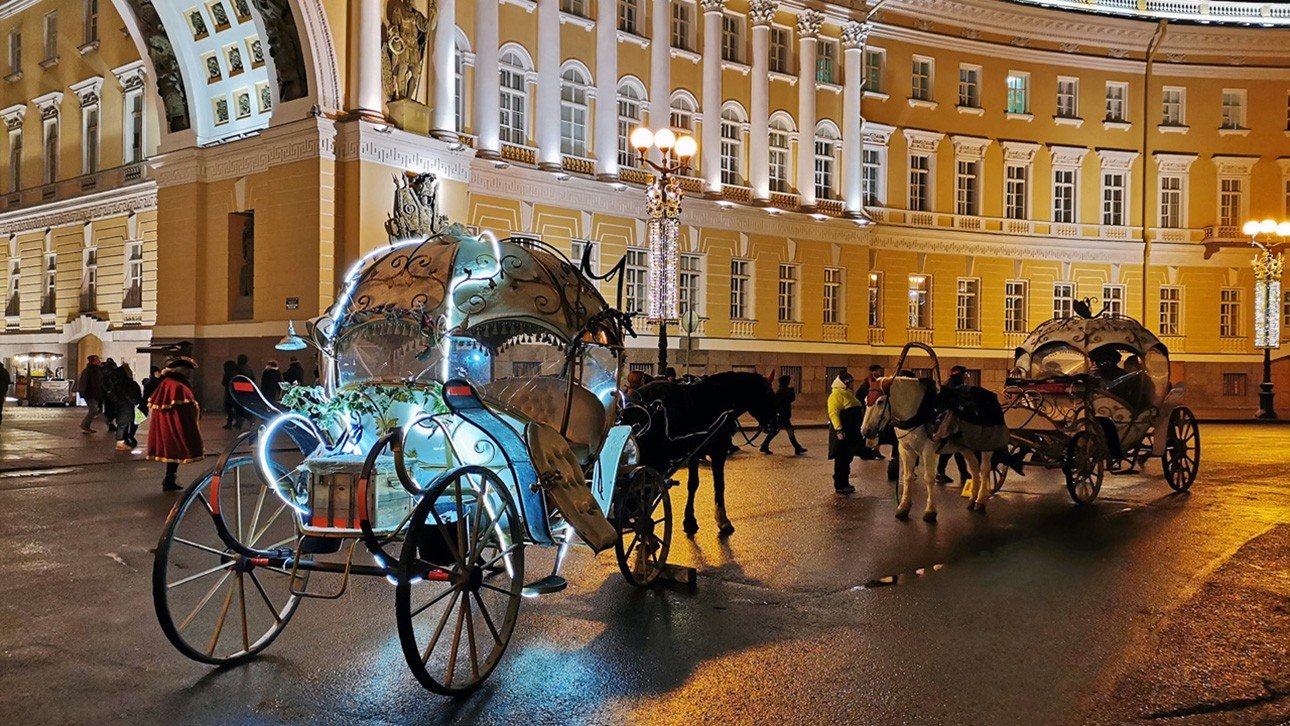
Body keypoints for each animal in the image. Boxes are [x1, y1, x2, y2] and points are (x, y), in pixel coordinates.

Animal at [621, 371, 774, 536]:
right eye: (770, 394)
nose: (773, 423)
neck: (721, 397)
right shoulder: (718, 451)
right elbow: (719, 484)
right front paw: (722, 520)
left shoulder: (695, 453)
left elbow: (693, 484)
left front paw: (689, 520)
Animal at [861, 373, 990, 523]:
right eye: (866, 400)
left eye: (880, 401)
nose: (865, 430)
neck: (917, 412)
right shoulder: (905, 450)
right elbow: (907, 476)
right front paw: (903, 507)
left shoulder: (928, 450)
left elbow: (929, 478)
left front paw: (930, 511)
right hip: (966, 448)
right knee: (975, 469)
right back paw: (972, 499)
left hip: (986, 446)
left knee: (984, 470)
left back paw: (980, 500)